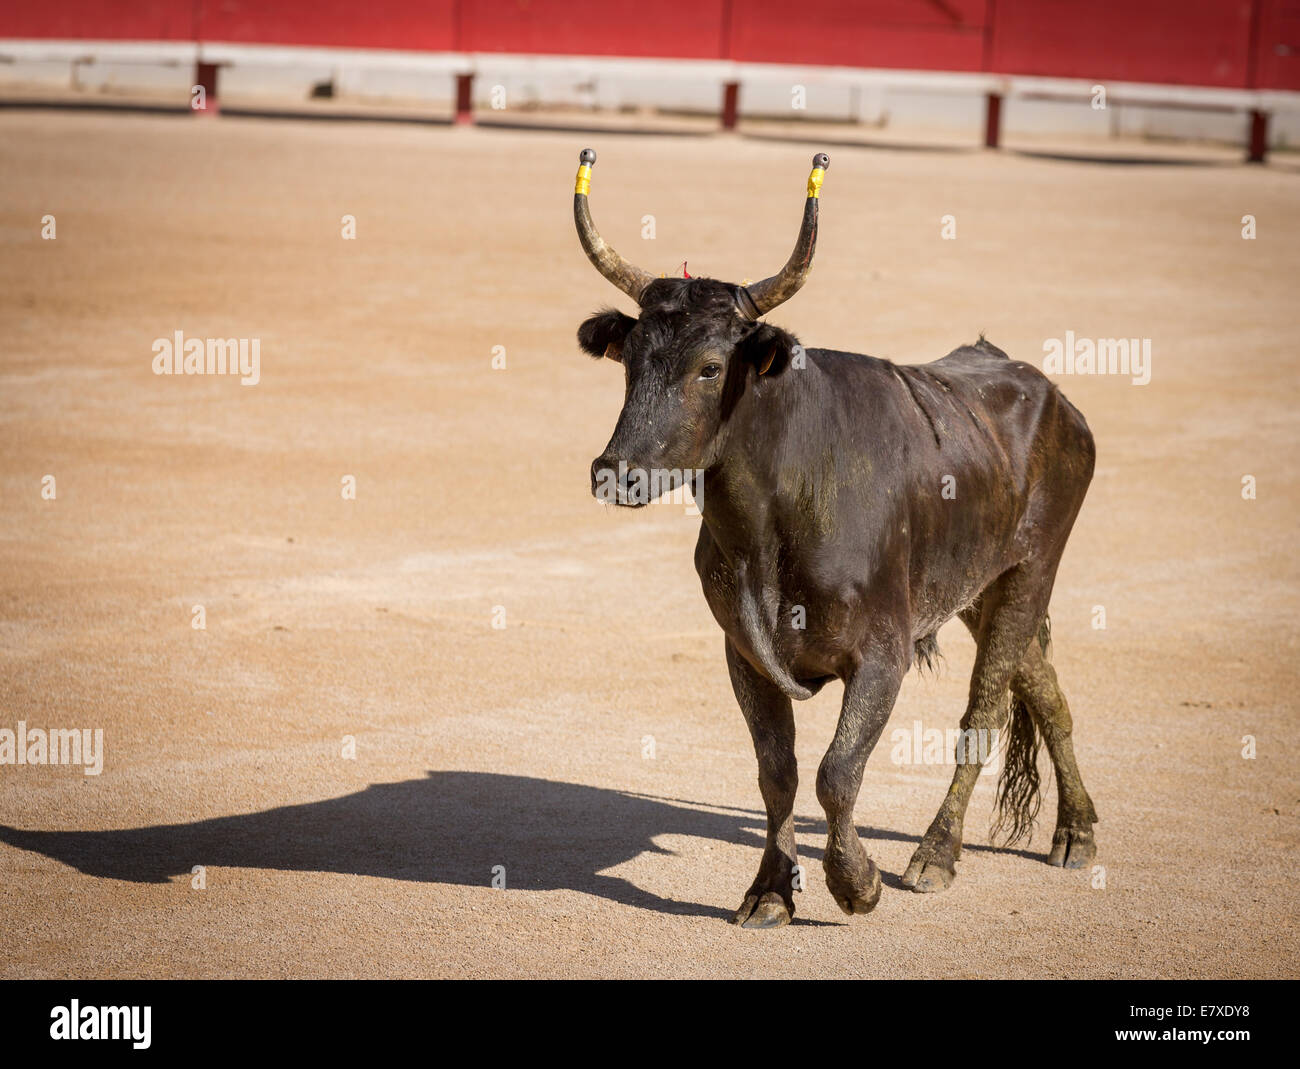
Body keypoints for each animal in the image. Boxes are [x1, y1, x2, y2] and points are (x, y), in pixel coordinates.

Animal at [569, 148, 1097, 931]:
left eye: (710, 367)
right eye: (631, 361)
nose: (616, 472)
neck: (771, 527)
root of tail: (1052, 395)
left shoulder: (882, 655)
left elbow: (836, 771)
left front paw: (856, 882)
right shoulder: (745, 656)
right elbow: (778, 772)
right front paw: (769, 891)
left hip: (1032, 571)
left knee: (985, 708)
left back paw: (937, 855)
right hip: (983, 588)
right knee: (1044, 689)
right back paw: (1077, 830)